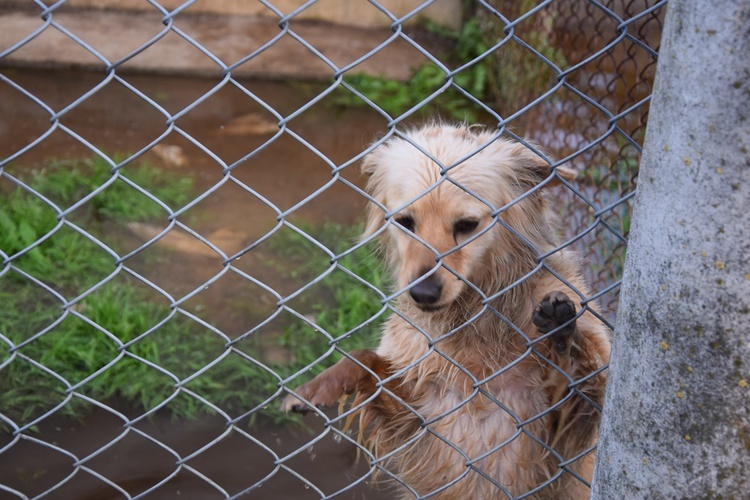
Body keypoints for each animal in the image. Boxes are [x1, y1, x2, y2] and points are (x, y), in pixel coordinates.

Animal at [282, 123, 612, 498]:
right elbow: (363, 359)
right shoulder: (418, 417)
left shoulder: (564, 424)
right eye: (405, 221)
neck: (474, 320)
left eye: (467, 225)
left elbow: (578, 373)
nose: (422, 293)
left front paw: (560, 329)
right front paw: (317, 387)